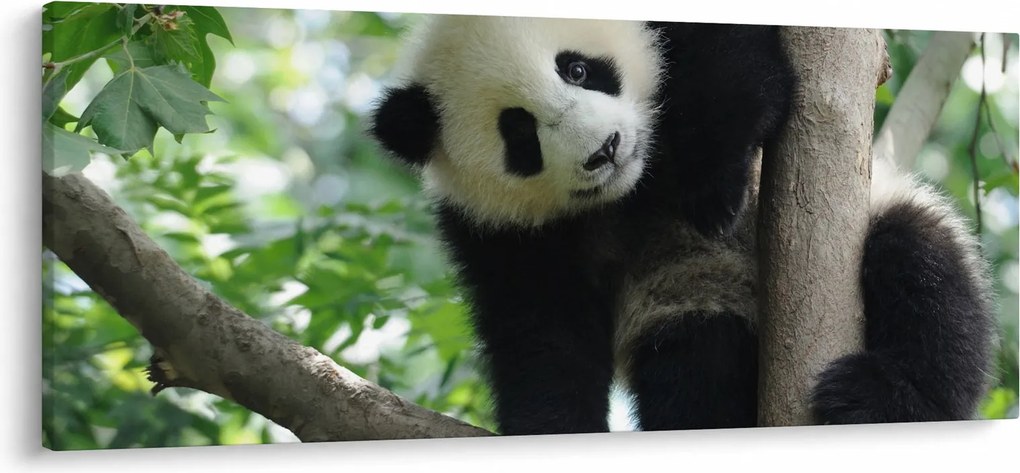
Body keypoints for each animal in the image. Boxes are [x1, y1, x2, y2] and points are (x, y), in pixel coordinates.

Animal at [369, 15, 995, 435]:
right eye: (519, 134)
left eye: (578, 68)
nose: (604, 150)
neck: (635, 185)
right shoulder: (499, 231)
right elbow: (543, 334)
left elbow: (734, 68)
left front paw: (712, 190)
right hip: (689, 303)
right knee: (697, 366)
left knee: (922, 276)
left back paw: (881, 400)